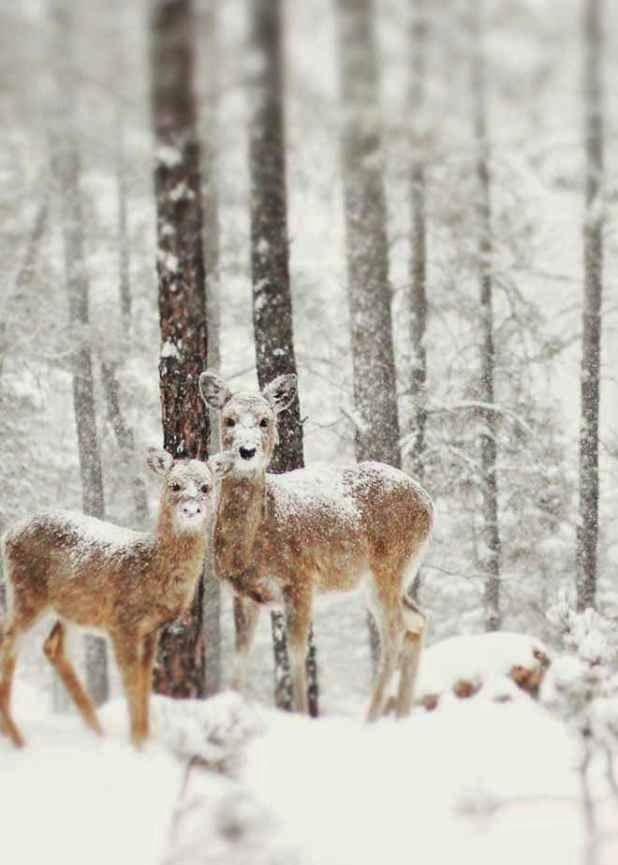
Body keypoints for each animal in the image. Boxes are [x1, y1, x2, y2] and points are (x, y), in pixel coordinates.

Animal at [0, 448, 231, 744]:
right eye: (174, 485)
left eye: (206, 487)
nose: (191, 509)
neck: (150, 568)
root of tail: (9, 533)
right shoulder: (122, 622)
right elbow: (131, 683)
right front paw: (137, 743)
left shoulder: (150, 630)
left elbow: (144, 683)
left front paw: (144, 738)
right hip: (27, 592)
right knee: (9, 641)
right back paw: (16, 736)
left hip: (71, 609)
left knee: (53, 647)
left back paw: (96, 731)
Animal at [200, 370, 430, 716]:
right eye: (229, 419)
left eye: (265, 420)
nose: (246, 450)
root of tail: (428, 503)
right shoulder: (243, 594)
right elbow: (241, 658)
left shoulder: (302, 579)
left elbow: (297, 653)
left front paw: (300, 713)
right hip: (386, 578)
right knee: (418, 620)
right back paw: (400, 714)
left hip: (389, 565)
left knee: (395, 631)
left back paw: (371, 716)